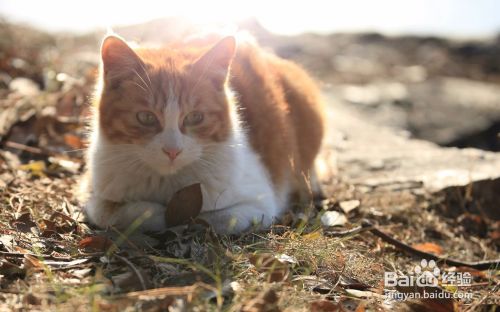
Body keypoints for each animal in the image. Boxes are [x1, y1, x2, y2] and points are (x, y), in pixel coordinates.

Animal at [82, 33, 324, 234]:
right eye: (146, 117)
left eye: (195, 117)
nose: (172, 151)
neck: (167, 183)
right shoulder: (93, 193)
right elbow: (119, 212)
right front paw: (163, 214)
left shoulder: (260, 201)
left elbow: (216, 218)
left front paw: (180, 218)